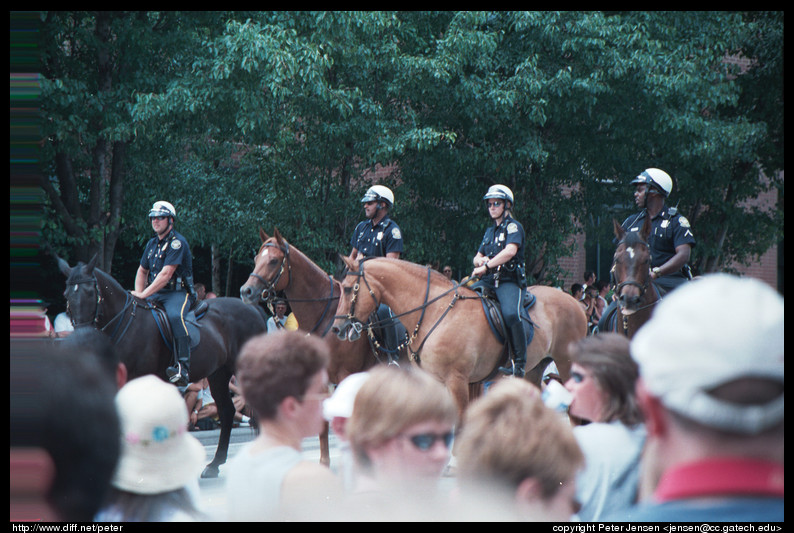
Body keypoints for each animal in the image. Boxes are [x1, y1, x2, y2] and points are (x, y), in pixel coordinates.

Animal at [57, 254, 266, 478]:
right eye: (67, 295)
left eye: (90, 292)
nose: (81, 337)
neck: (125, 323)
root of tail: (252, 308)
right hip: (218, 374)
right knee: (227, 411)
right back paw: (214, 464)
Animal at [235, 227, 396, 464]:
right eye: (256, 259)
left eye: (273, 261)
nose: (246, 291)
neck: (324, 314)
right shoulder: (322, 380)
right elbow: (323, 424)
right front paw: (324, 463)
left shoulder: (346, 375)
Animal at [330, 256, 588, 422]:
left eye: (347, 288)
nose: (336, 328)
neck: (433, 311)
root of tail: (577, 304)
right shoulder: (435, 379)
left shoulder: (457, 380)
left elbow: (461, 417)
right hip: (535, 369)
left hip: (566, 365)